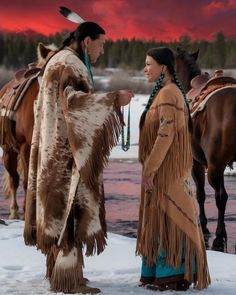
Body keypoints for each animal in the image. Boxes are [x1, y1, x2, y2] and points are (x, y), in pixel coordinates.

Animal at [0, 43, 56, 220]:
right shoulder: (26, 146)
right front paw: (27, 213)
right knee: (14, 178)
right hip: (9, 150)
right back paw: (14, 211)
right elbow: (26, 182)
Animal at [175, 48, 236, 252]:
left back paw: (219, 236)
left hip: (215, 167)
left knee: (221, 197)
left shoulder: (196, 162)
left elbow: (200, 194)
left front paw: (204, 226)